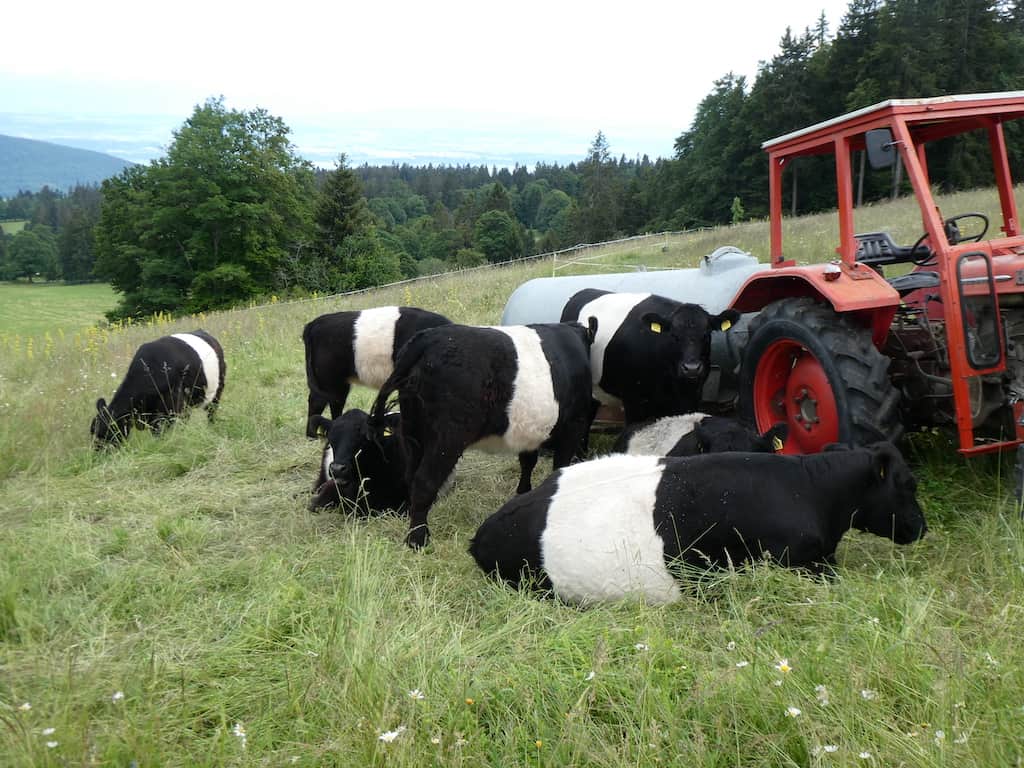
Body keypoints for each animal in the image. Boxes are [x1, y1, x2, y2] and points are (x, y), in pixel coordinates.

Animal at [91, 330, 226, 447]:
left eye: (108, 432)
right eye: (93, 432)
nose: (98, 453)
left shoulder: (175, 407)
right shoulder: (154, 416)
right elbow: (157, 433)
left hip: (217, 389)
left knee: (212, 412)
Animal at [302, 306, 451, 438]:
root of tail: (315, 323)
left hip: (339, 383)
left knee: (335, 403)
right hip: (329, 380)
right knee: (317, 401)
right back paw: (312, 436)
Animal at [368, 319, 597, 548]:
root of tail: (429, 338)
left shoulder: (530, 432)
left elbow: (527, 462)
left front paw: (522, 493)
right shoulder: (573, 425)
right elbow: (560, 465)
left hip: (413, 433)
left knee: (411, 477)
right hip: (447, 438)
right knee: (424, 482)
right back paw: (417, 540)